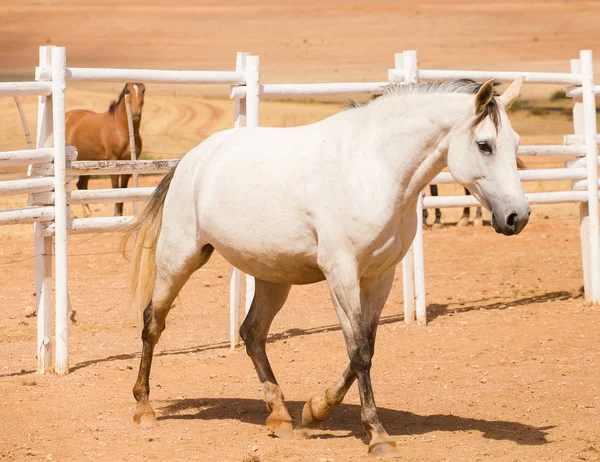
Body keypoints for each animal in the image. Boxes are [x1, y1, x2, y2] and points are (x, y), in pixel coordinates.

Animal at [66, 83, 146, 217]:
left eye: (143, 90)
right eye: (127, 91)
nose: (136, 114)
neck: (120, 128)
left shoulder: (128, 164)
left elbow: (124, 189)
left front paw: (119, 214)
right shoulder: (113, 160)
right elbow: (116, 188)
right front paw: (117, 215)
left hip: (88, 162)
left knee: (81, 184)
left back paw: (88, 215)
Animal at [127, 77, 528, 456]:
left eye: (516, 144)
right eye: (485, 145)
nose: (517, 217)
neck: (374, 168)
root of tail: (191, 159)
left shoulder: (380, 277)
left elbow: (366, 345)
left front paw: (314, 411)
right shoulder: (342, 275)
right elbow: (359, 352)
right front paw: (377, 435)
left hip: (273, 277)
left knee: (252, 334)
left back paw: (280, 415)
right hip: (179, 257)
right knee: (153, 323)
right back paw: (144, 410)